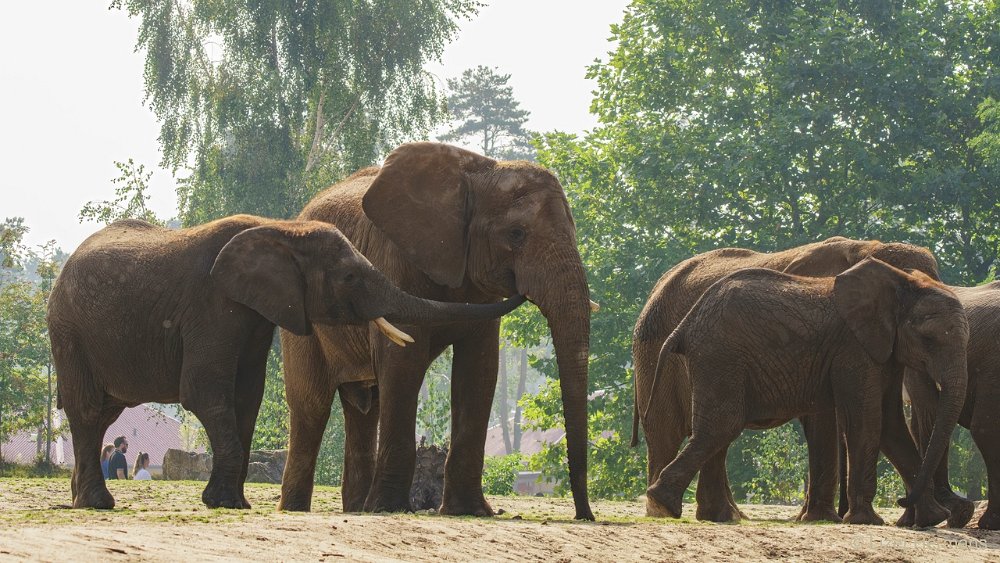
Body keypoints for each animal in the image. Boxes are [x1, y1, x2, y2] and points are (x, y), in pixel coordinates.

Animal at [47, 216, 524, 512]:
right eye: (349, 277)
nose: (517, 288)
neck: (281, 228)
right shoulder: (211, 304)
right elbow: (205, 392)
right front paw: (222, 503)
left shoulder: (256, 314)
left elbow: (247, 396)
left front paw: (233, 503)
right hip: (68, 330)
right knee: (87, 409)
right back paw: (97, 504)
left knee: (103, 413)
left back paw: (79, 499)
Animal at [278, 141, 592, 520]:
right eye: (516, 234)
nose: (584, 515)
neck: (480, 173)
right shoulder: (394, 257)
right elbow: (404, 363)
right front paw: (389, 508)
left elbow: (479, 370)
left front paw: (468, 511)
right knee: (311, 405)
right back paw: (300, 509)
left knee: (365, 408)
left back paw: (357, 508)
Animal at [632, 235, 960, 524]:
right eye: (926, 337)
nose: (902, 501)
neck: (865, 247)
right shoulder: (845, 344)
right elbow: (838, 418)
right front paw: (830, 519)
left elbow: (885, 419)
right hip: (664, 349)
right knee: (673, 430)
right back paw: (663, 509)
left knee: (716, 431)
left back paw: (722, 516)